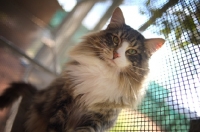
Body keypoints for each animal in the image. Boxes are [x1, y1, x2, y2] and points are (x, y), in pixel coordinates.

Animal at [0, 6, 165, 132]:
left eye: (131, 52)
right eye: (115, 39)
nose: (116, 54)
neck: (103, 73)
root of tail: (35, 93)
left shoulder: (98, 119)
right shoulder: (64, 103)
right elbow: (55, 127)